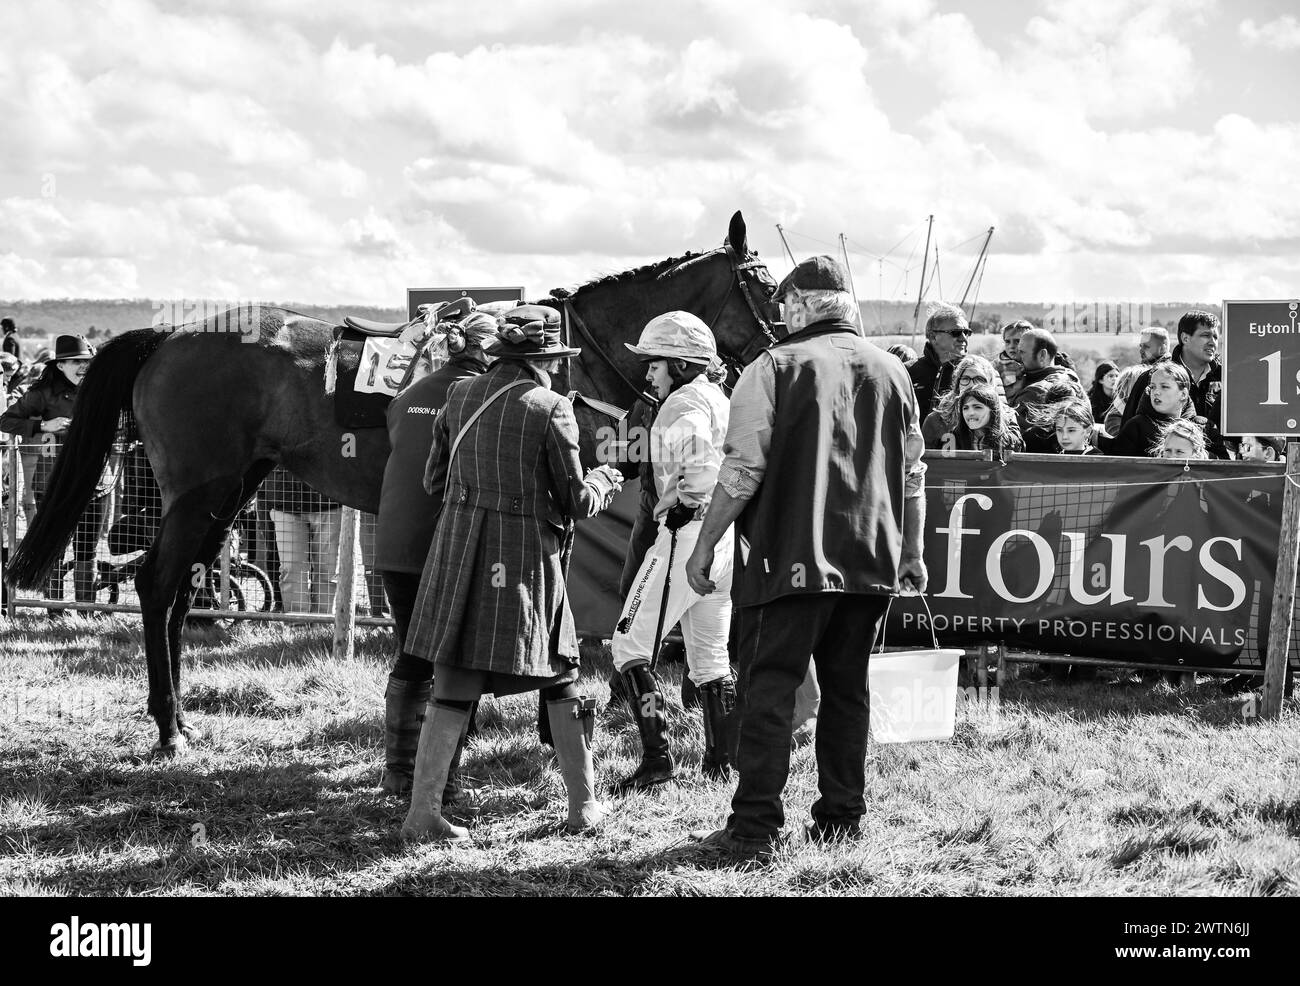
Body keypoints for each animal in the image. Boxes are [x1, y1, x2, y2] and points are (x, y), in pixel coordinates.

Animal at [7, 212, 780, 754]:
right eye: (769, 285)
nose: (773, 355)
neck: (572, 359)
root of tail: (168, 337)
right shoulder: (554, 504)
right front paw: (543, 716)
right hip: (199, 492)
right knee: (156, 584)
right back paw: (169, 727)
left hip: (228, 495)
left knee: (178, 593)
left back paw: (181, 717)